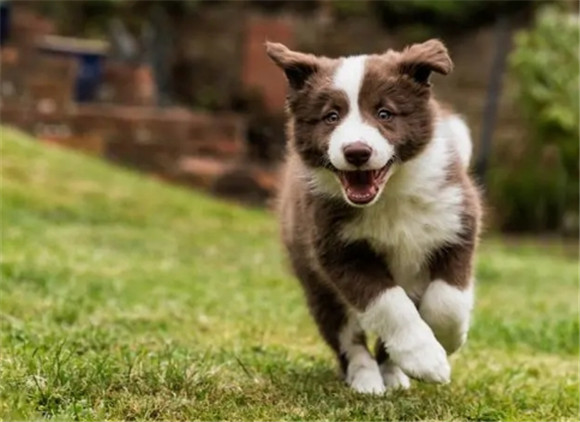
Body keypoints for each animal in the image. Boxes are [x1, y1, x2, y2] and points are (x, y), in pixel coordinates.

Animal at [266, 38, 480, 394]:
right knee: (347, 338)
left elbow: (448, 300)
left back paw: (393, 373)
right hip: (317, 285)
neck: (389, 194)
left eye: (385, 113)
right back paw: (366, 378)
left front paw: (446, 342)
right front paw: (425, 358)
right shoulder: (338, 250)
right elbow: (389, 304)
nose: (356, 152)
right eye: (331, 117)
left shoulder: (456, 223)